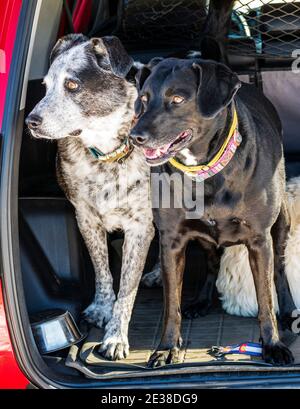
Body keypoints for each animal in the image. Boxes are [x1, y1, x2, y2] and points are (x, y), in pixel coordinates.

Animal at [25, 35, 155, 360]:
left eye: (72, 84)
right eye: (45, 86)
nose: (31, 121)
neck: (108, 154)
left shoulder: (140, 227)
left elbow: (127, 290)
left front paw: (116, 337)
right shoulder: (86, 219)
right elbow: (103, 271)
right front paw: (101, 308)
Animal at [131, 57, 296, 366]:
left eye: (178, 99)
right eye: (143, 100)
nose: (135, 137)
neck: (204, 170)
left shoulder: (259, 240)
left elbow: (266, 300)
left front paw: (272, 344)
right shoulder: (171, 241)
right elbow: (172, 304)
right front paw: (167, 347)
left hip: (280, 224)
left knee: (279, 270)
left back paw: (290, 309)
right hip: (205, 238)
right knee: (211, 263)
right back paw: (202, 300)